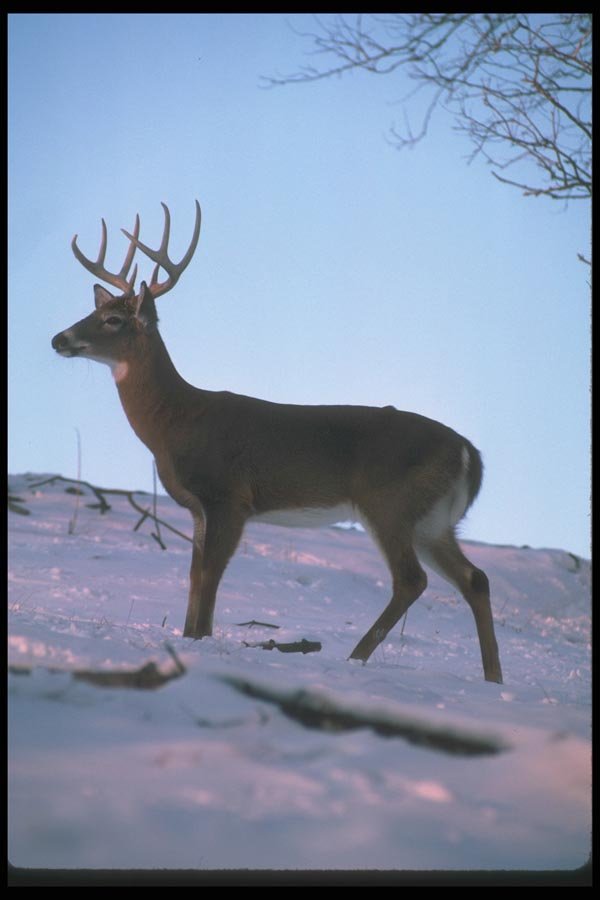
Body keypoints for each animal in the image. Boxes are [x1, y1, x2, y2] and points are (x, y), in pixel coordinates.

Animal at [51, 200, 503, 683]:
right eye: (93, 312)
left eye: (113, 320)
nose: (58, 338)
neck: (177, 424)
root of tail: (469, 453)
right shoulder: (197, 507)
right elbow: (193, 575)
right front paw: (189, 637)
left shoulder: (230, 496)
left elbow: (209, 575)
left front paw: (200, 640)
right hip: (433, 520)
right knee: (475, 578)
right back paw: (493, 677)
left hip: (390, 502)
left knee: (412, 579)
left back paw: (355, 657)